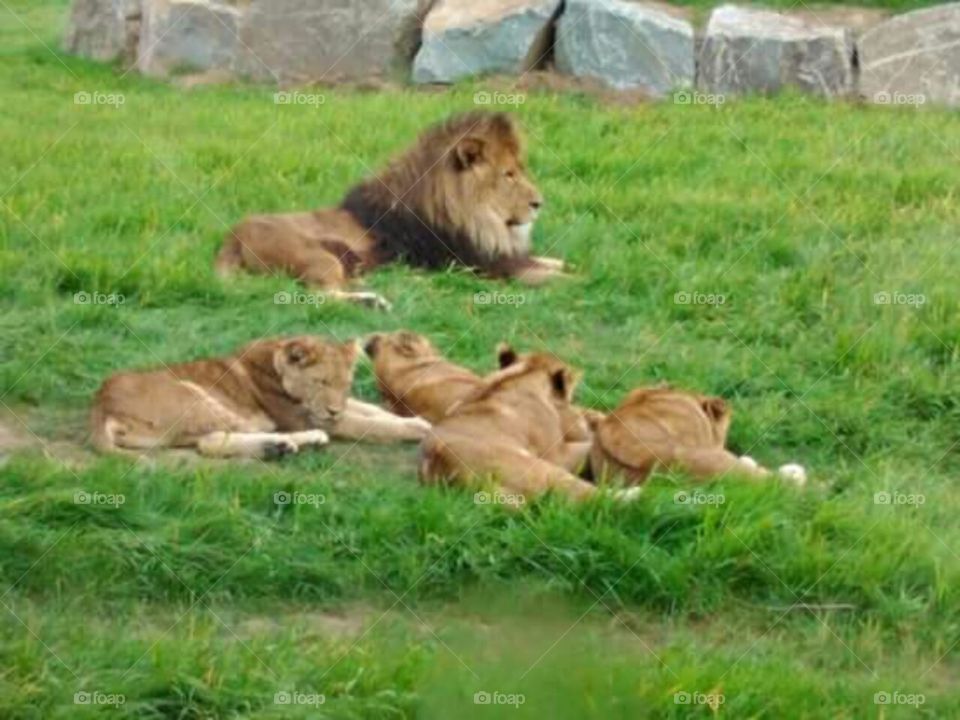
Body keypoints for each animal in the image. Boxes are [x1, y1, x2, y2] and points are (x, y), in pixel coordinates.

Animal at [90, 336, 430, 459]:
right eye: (319, 382)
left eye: (344, 384)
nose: (333, 410)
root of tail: (100, 406)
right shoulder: (302, 416)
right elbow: (368, 425)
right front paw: (417, 427)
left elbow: (368, 409)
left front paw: (410, 416)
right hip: (196, 396)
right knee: (211, 442)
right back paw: (292, 442)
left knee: (211, 440)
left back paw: (277, 447)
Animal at [215, 111, 566, 310]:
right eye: (509, 174)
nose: (539, 203)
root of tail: (232, 237)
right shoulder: (479, 264)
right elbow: (553, 276)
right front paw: (576, 282)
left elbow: (553, 261)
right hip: (318, 256)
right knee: (317, 295)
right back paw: (374, 300)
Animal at [419, 351, 639, 506]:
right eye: (570, 397)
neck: (524, 373)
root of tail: (444, 466)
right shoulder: (558, 456)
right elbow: (587, 445)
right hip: (543, 470)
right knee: (592, 496)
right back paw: (638, 493)